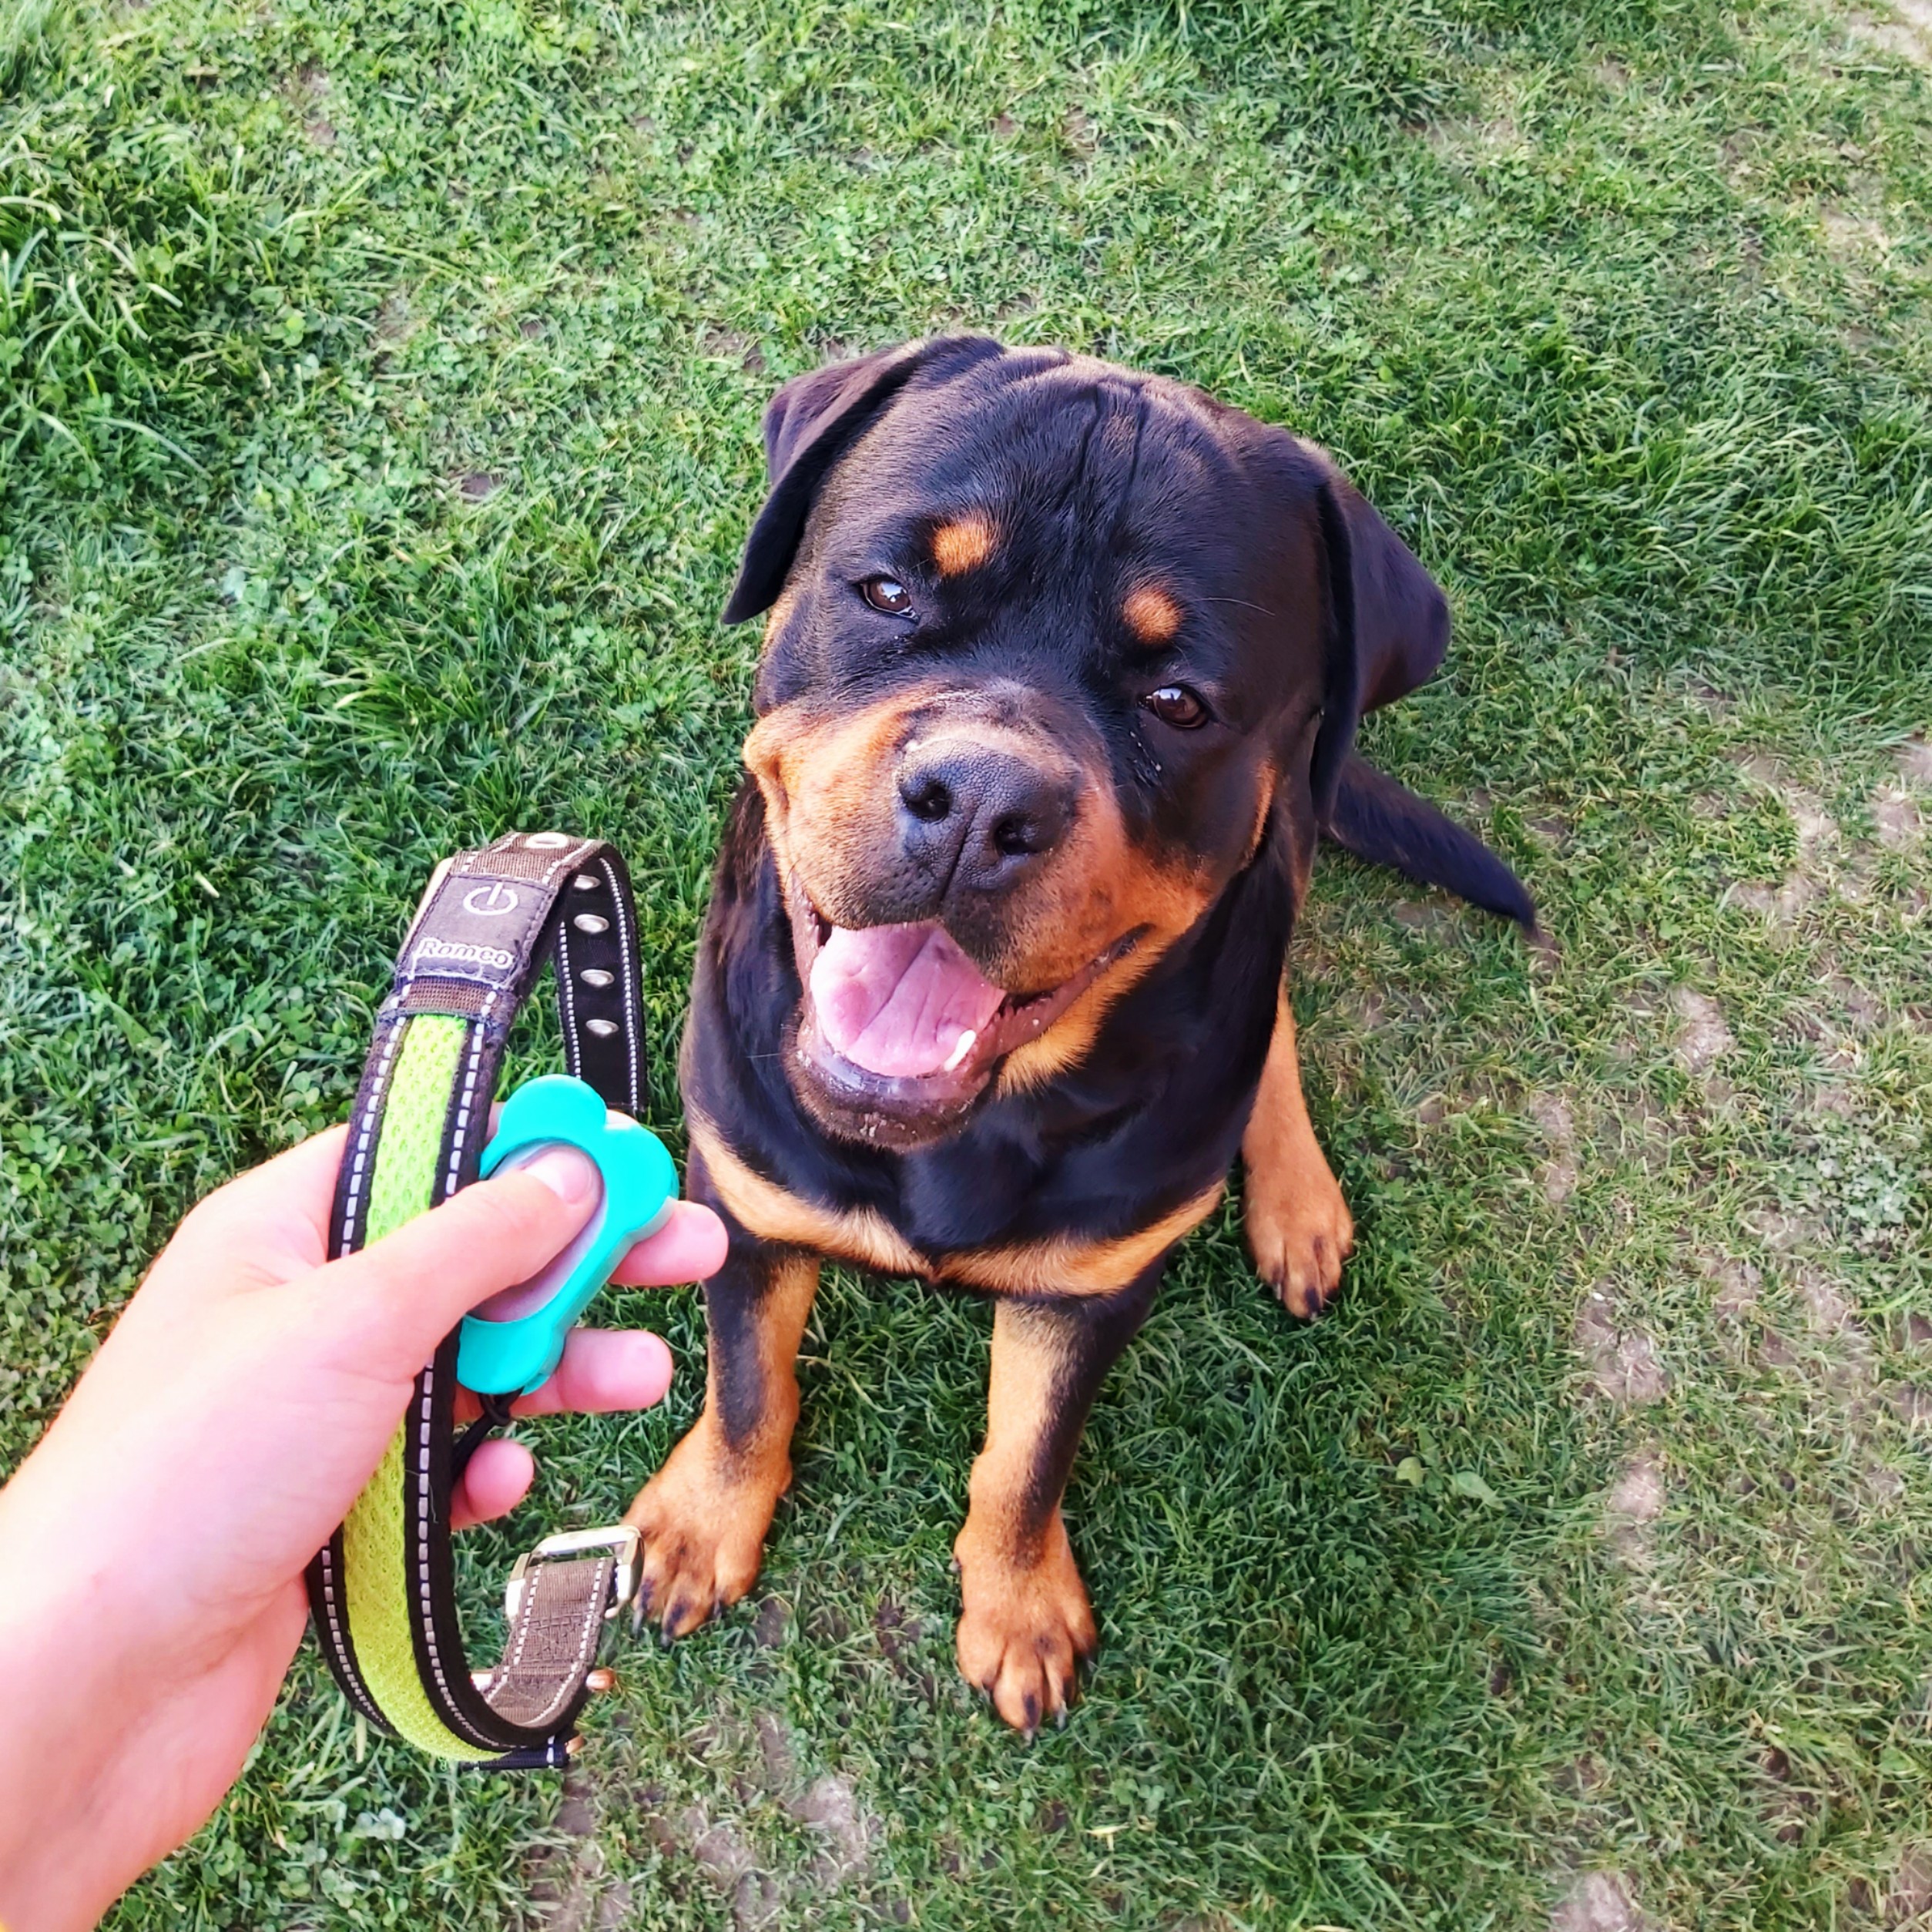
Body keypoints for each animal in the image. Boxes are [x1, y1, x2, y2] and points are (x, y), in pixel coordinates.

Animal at [624, 337, 1534, 1734]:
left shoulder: (1093, 1283)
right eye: (886, 589)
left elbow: (1027, 1454)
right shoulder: (749, 1197)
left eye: (1178, 699)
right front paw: (702, 1526)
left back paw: (1296, 1200)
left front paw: (1018, 1604)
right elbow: (747, 1385)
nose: (979, 801)